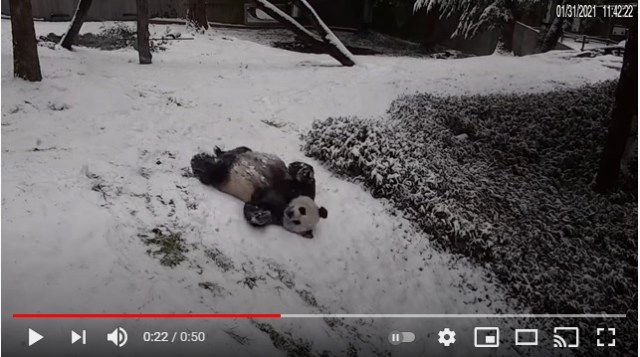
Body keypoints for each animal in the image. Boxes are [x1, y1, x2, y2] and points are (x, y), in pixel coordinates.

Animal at [190, 146, 328, 238]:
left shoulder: (275, 212)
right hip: (242, 153)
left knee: (212, 172)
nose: (290, 213)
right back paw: (215, 152)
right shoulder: (298, 189)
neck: (286, 203)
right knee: (240, 149)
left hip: (221, 175)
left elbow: (253, 209)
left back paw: (200, 162)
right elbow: (307, 183)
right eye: (302, 210)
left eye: (297, 222)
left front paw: (260, 216)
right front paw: (303, 170)